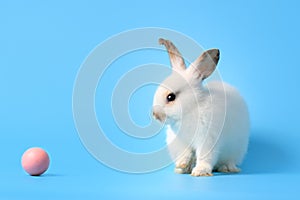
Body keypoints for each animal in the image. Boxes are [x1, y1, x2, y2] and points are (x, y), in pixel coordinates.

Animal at [152, 38, 248, 176]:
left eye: (171, 97)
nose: (155, 115)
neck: (191, 108)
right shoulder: (181, 143)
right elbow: (186, 155)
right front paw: (182, 166)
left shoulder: (207, 140)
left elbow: (204, 156)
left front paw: (200, 172)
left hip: (236, 149)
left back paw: (227, 168)